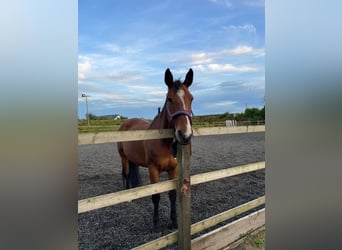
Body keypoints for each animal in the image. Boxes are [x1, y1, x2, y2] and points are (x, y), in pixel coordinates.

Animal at [117, 68, 192, 230]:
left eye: (191, 98)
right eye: (169, 99)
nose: (185, 135)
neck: (163, 141)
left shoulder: (173, 169)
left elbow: (172, 195)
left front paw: (174, 222)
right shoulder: (153, 169)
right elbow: (156, 196)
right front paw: (156, 223)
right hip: (123, 157)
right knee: (126, 174)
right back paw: (128, 197)